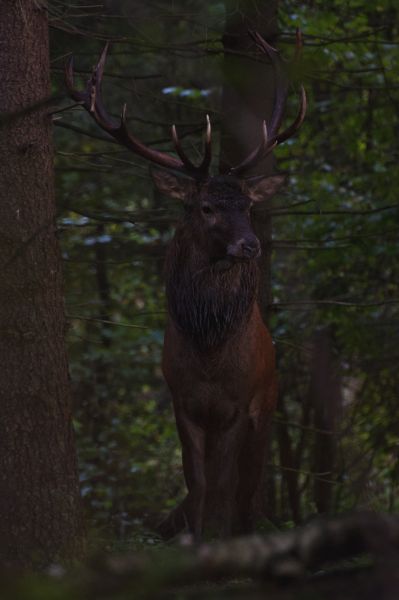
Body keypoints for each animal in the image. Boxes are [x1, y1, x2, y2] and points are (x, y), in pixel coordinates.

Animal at [65, 31, 308, 540]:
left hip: (267, 404)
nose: (251, 245)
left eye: (248, 205)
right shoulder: (181, 400)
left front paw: (221, 539)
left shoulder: (240, 405)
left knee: (248, 484)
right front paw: (193, 535)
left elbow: (225, 481)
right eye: (206, 208)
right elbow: (196, 481)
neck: (210, 356)